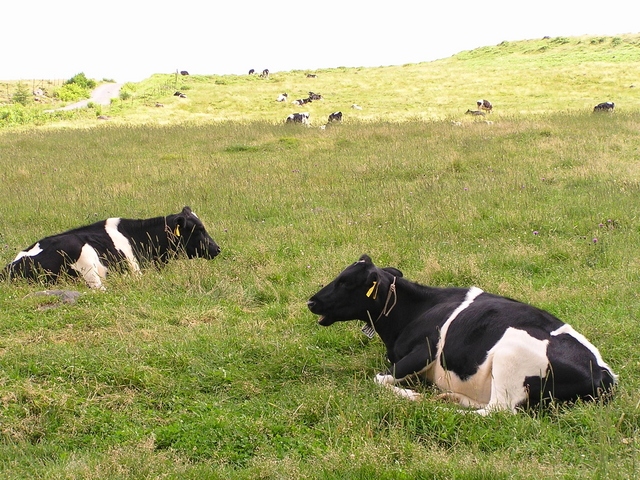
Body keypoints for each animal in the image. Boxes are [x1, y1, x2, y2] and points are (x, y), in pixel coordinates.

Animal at [308, 253, 616, 414]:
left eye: (346, 282)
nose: (311, 301)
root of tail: (604, 374)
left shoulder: (425, 349)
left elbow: (379, 379)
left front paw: (410, 393)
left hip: (510, 360)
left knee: (494, 411)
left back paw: (437, 404)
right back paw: (451, 397)